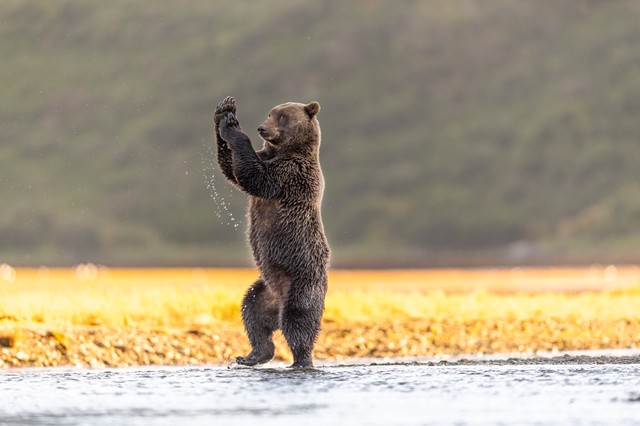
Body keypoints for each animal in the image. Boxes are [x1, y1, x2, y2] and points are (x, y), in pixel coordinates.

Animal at [214, 95, 330, 366]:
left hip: (302, 280)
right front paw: (224, 112)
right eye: (270, 113)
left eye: (283, 117)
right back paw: (252, 355)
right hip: (262, 290)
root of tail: (277, 303)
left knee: (299, 321)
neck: (284, 151)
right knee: (251, 314)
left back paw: (301, 359)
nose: (262, 128)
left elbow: (255, 177)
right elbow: (232, 168)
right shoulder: (268, 158)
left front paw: (233, 127)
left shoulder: (290, 174)